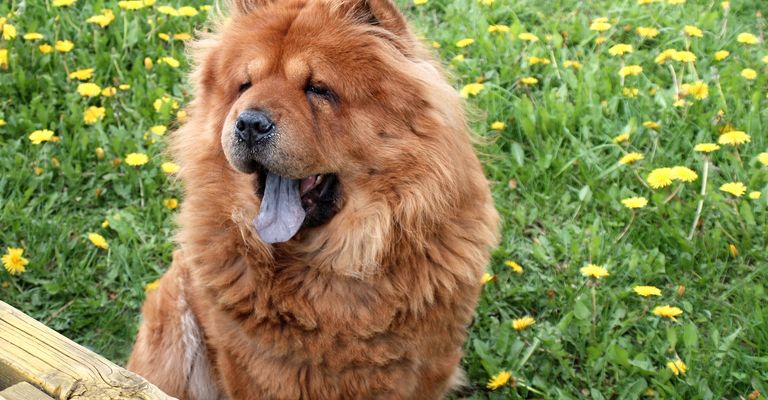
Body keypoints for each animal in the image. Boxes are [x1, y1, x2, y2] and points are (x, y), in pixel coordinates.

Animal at [127, 0, 498, 400]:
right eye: (245, 85)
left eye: (318, 89)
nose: (250, 123)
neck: (332, 262)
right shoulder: (248, 366)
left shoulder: (427, 366)